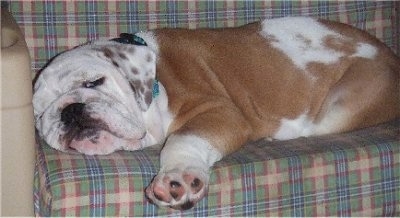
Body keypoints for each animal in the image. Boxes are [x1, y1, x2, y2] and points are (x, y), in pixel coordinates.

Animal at [33, 17, 400, 209]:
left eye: (94, 82)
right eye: (38, 114)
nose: (69, 110)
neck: (156, 80)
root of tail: (392, 56)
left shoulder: (217, 110)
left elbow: (182, 139)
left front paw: (177, 177)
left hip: (341, 104)